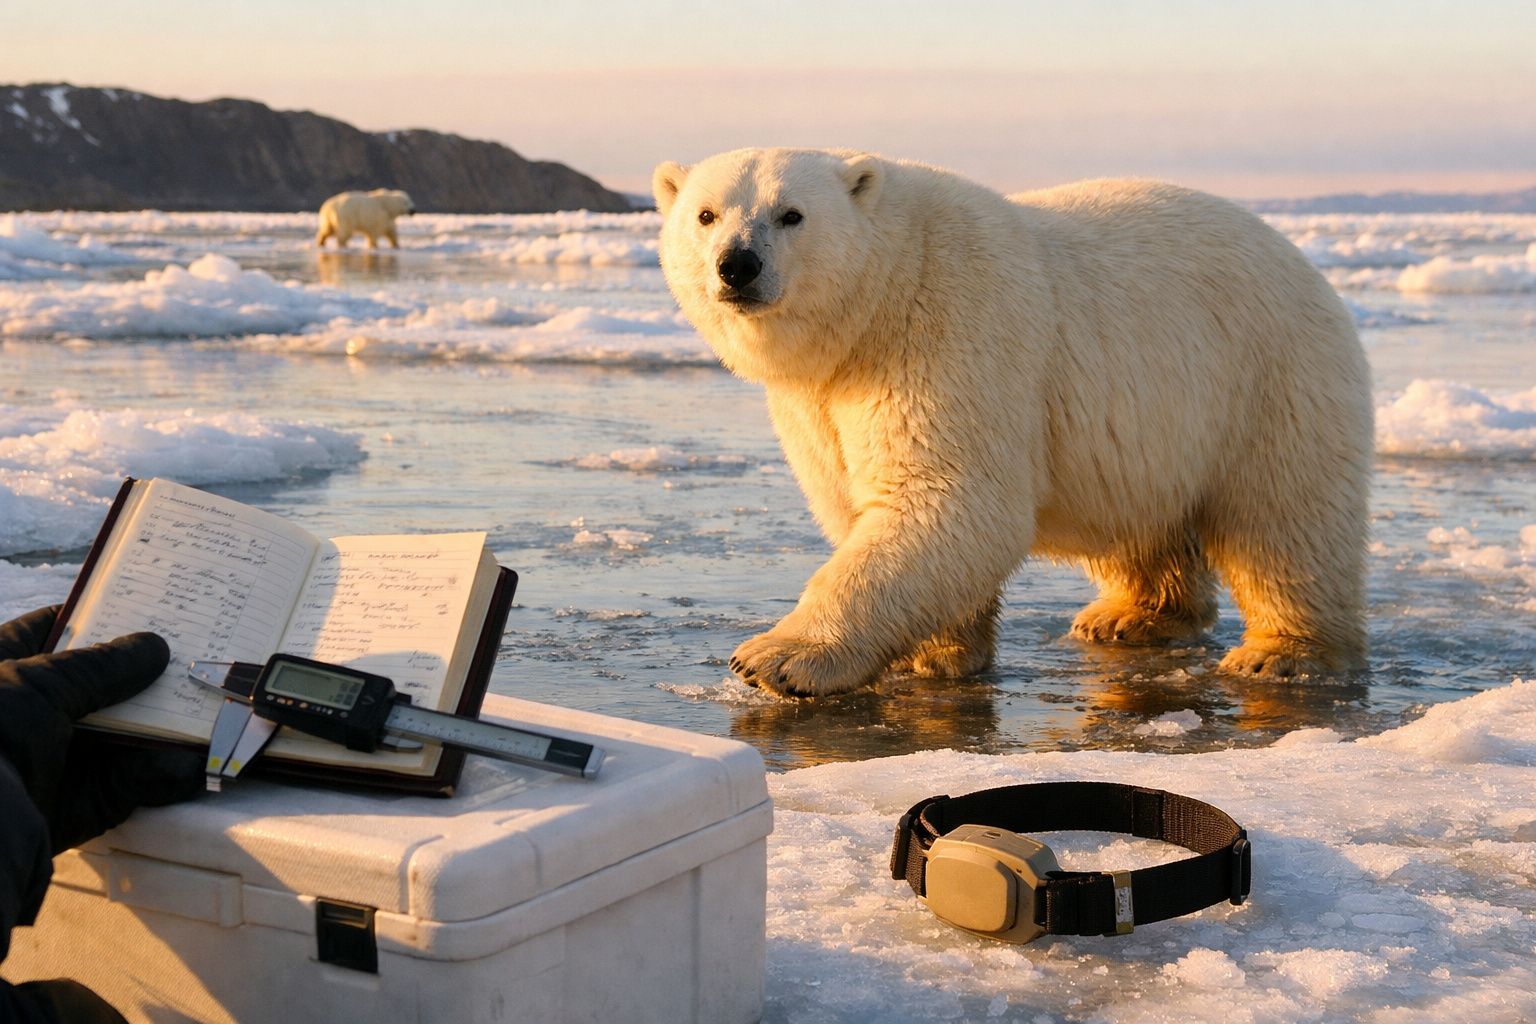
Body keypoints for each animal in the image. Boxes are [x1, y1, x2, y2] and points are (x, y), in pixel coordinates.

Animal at [653, 148, 1373, 697]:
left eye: (791, 214)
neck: (879, 300)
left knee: (1284, 519)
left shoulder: (947, 332)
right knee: (1144, 517)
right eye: (706, 214)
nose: (737, 265)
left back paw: (1282, 653)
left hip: (1268, 374)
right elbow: (864, 498)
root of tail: (1301, 261)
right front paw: (936, 652)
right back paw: (1129, 617)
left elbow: (946, 495)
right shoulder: (818, 400)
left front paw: (775, 658)